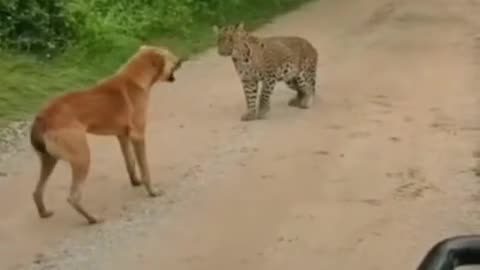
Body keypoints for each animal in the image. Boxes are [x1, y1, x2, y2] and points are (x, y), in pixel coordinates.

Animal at [29, 45, 185, 225]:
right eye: (170, 56)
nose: (181, 59)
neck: (134, 78)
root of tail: (42, 118)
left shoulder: (122, 136)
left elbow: (130, 163)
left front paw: (135, 182)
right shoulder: (138, 136)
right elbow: (145, 168)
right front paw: (152, 191)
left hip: (49, 160)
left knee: (37, 190)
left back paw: (44, 212)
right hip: (82, 157)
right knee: (73, 197)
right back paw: (93, 219)